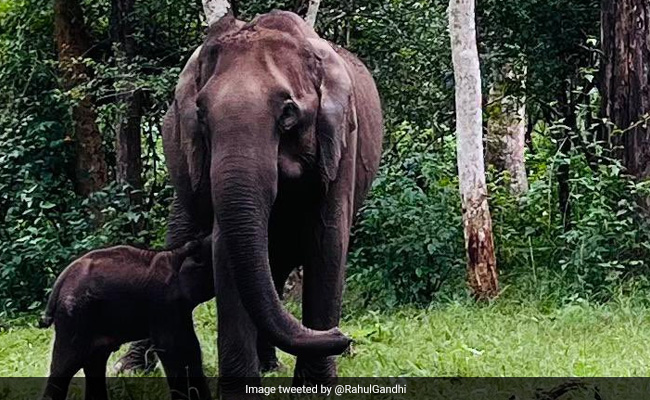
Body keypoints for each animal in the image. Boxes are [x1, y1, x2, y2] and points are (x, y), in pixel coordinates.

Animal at [40, 238, 213, 400]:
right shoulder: (163, 303)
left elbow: (188, 345)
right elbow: (176, 347)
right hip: (74, 315)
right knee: (66, 365)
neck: (178, 254)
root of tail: (60, 281)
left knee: (94, 362)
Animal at [124, 10, 382, 389]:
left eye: (288, 113)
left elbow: (327, 242)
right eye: (200, 114)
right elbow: (224, 251)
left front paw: (314, 387)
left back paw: (270, 365)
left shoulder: (341, 143)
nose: (342, 337)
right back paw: (129, 368)